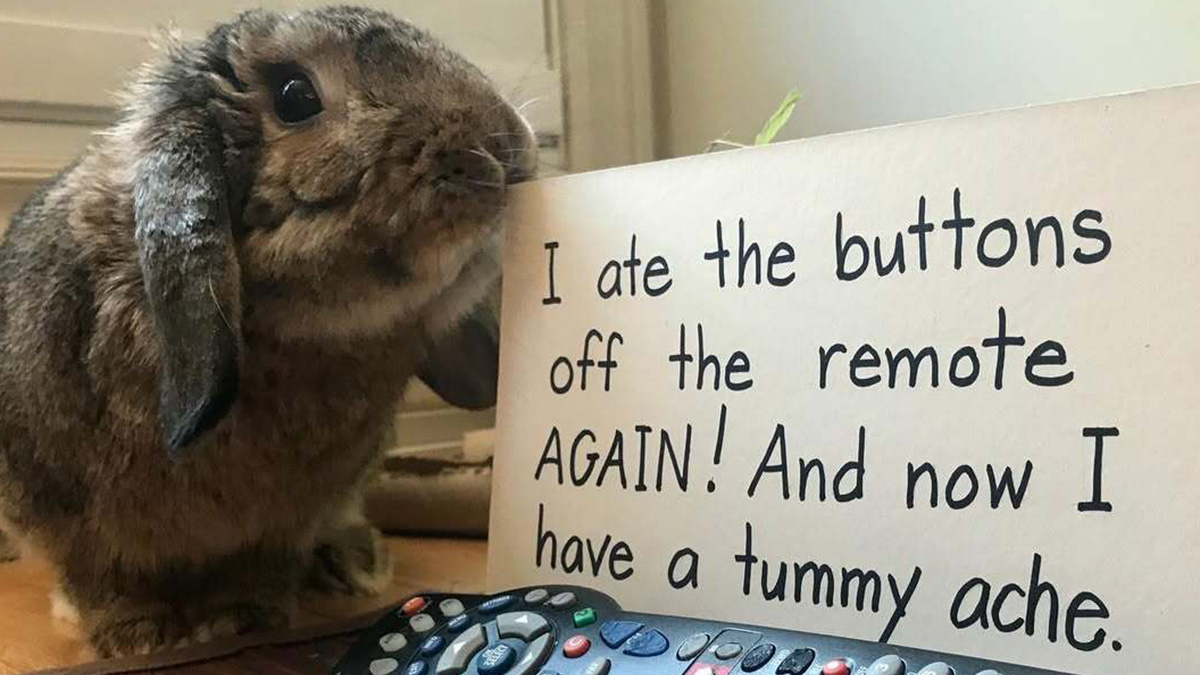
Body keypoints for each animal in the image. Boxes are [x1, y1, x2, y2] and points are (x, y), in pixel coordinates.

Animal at [0, 5, 533, 658]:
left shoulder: (283, 526)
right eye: (295, 96)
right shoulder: (66, 515)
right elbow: (103, 577)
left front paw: (245, 621)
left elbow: (261, 569)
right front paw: (139, 639)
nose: (507, 145)